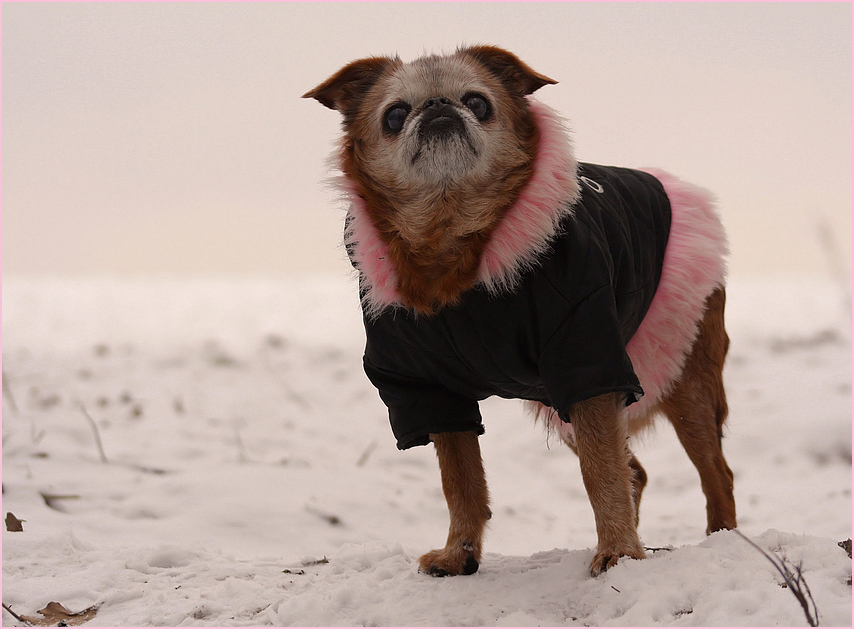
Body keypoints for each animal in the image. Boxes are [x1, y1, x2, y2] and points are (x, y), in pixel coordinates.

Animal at [304, 43, 740, 576]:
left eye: (478, 102)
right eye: (394, 115)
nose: (439, 106)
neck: (452, 245)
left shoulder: (587, 364)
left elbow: (600, 473)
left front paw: (618, 551)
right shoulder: (431, 392)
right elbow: (461, 482)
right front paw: (460, 554)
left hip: (681, 378)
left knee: (715, 472)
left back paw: (722, 542)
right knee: (635, 471)